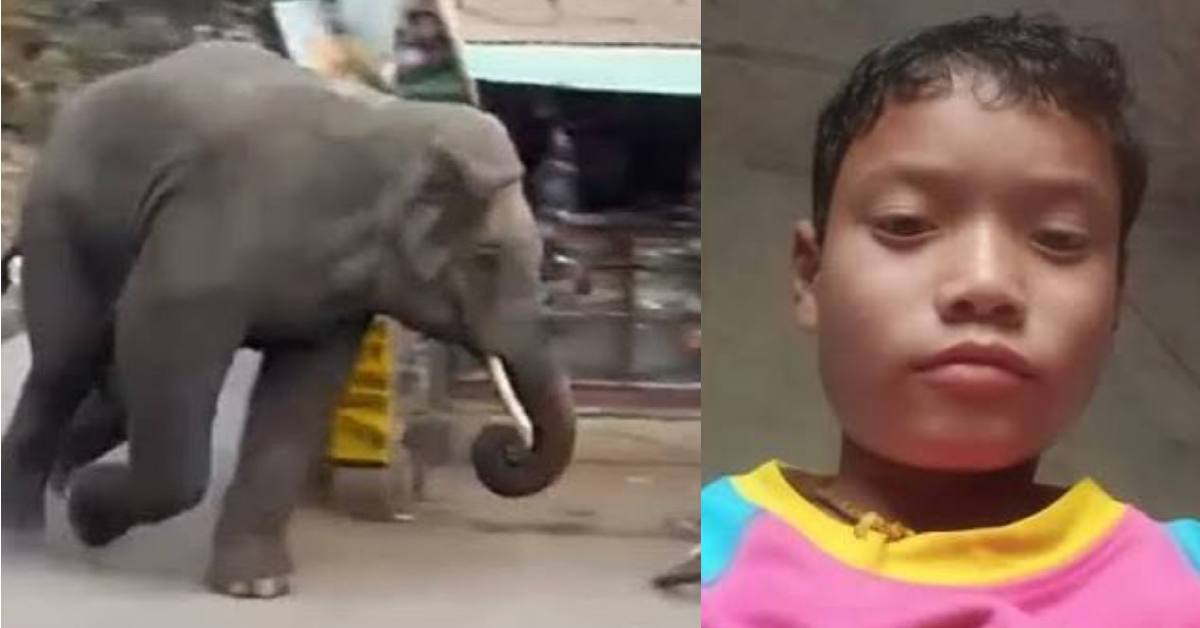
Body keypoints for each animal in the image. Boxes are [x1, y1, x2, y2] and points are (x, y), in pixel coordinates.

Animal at [0, 41, 576, 598]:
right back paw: (25, 534)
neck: (399, 129)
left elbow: (300, 394)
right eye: (486, 256)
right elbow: (159, 342)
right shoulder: (206, 239)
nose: (506, 444)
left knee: (115, 385)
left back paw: (63, 480)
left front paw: (256, 586)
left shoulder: (339, 302)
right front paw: (87, 514)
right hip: (58, 220)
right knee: (64, 364)